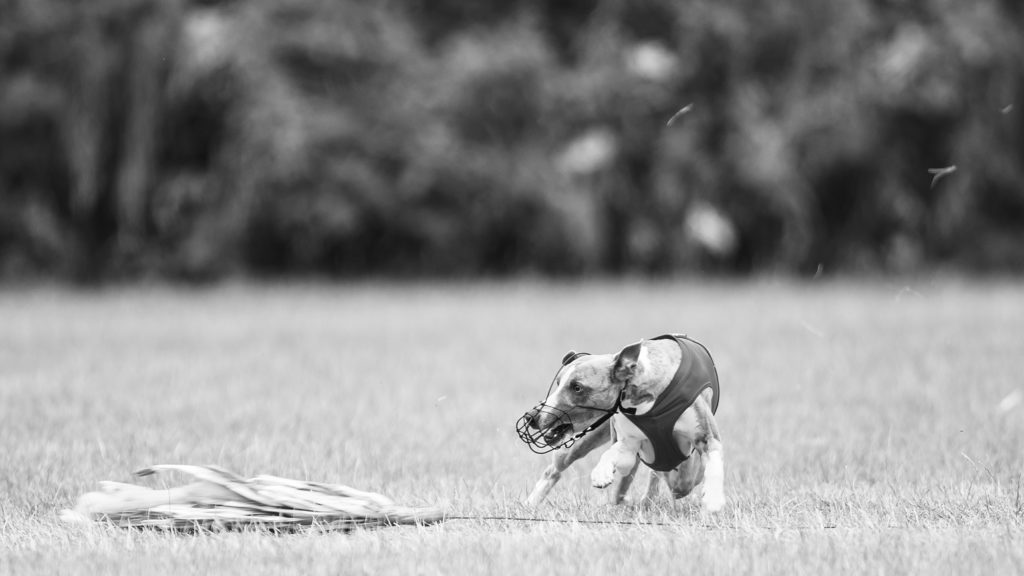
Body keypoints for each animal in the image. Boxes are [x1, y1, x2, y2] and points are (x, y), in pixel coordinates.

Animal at [516, 334, 724, 508]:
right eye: (558, 383)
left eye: (577, 387)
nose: (532, 416)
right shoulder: (628, 444)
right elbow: (613, 453)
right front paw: (601, 474)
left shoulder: (707, 438)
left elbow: (707, 465)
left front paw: (713, 500)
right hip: (587, 439)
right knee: (556, 468)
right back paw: (530, 504)